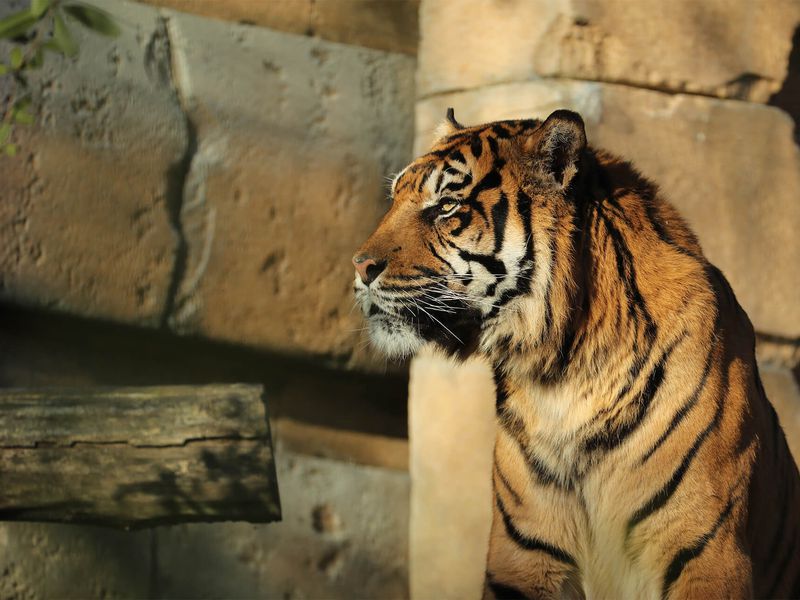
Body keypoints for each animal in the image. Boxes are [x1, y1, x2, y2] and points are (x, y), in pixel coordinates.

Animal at [352, 108, 800, 599]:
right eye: (395, 198)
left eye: (447, 206)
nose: (359, 266)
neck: (563, 369)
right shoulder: (524, 553)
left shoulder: (708, 552)